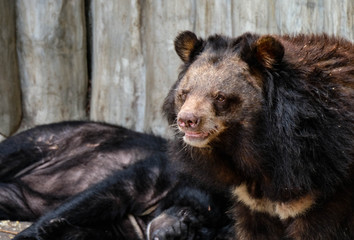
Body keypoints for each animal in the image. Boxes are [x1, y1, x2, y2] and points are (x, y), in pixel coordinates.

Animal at [0, 122, 232, 240]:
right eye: (186, 214)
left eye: (195, 236)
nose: (172, 234)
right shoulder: (159, 173)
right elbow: (107, 196)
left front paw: (59, 231)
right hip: (55, 137)